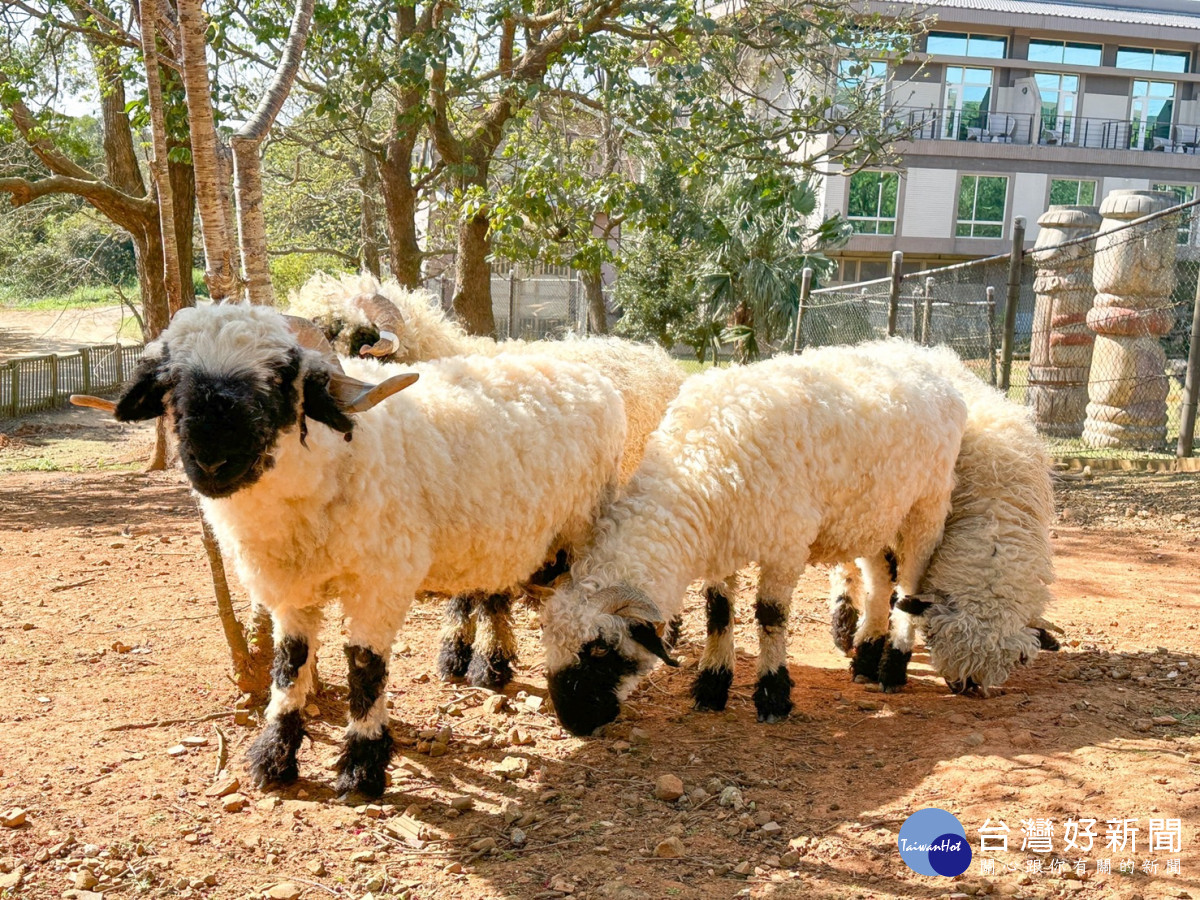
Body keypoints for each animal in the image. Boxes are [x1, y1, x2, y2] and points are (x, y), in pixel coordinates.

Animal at [82, 307, 628, 801]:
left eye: (280, 379)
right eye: (172, 382)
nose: (212, 460)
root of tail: (582, 368)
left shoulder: (380, 583)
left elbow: (365, 669)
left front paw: (362, 769)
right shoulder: (291, 591)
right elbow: (288, 664)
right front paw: (274, 758)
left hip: (575, 526)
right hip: (495, 532)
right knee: (489, 590)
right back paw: (481, 666)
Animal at [285, 271, 691, 696]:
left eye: (354, 339)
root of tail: (655, 355)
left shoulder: (501, 516)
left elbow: (490, 596)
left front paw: (490, 664)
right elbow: (465, 595)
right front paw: (454, 653)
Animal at [540, 340, 969, 734]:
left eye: (598, 648)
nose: (575, 722)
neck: (699, 465)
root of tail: (925, 354)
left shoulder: (786, 546)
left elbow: (769, 616)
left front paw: (772, 695)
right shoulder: (720, 547)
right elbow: (717, 613)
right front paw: (711, 686)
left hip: (927, 506)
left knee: (910, 587)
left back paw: (893, 667)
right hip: (875, 514)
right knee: (881, 582)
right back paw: (865, 657)